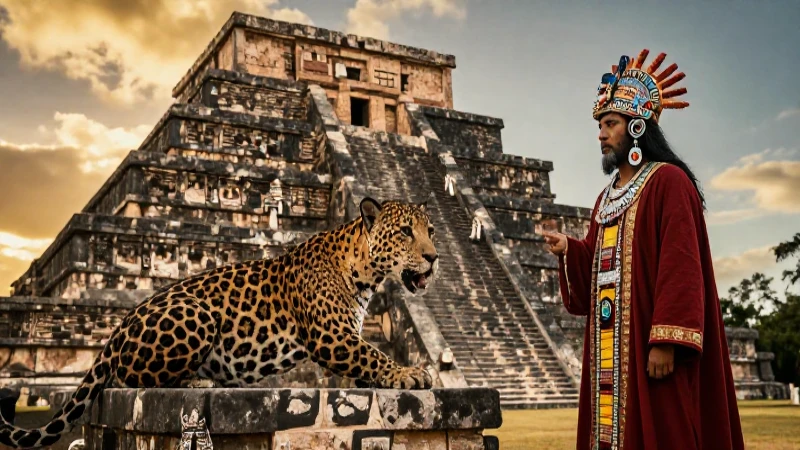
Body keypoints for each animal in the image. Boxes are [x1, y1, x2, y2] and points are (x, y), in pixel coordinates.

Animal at [0, 197, 439, 448]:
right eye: (405, 232)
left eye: (431, 231)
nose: (435, 258)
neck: (365, 269)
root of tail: (119, 326)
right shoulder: (332, 336)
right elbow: (373, 355)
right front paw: (410, 374)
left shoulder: (346, 335)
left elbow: (368, 360)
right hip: (196, 313)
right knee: (128, 379)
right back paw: (199, 382)